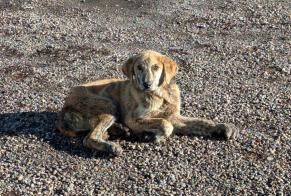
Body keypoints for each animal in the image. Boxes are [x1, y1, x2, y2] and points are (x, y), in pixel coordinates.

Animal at [57, 50, 240, 156]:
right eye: (139, 67)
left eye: (156, 67)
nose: (147, 84)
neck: (160, 95)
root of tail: (64, 109)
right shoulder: (134, 118)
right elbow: (166, 124)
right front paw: (156, 136)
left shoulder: (175, 116)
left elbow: (202, 122)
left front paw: (222, 127)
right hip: (108, 104)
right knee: (89, 137)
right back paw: (111, 146)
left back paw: (119, 131)